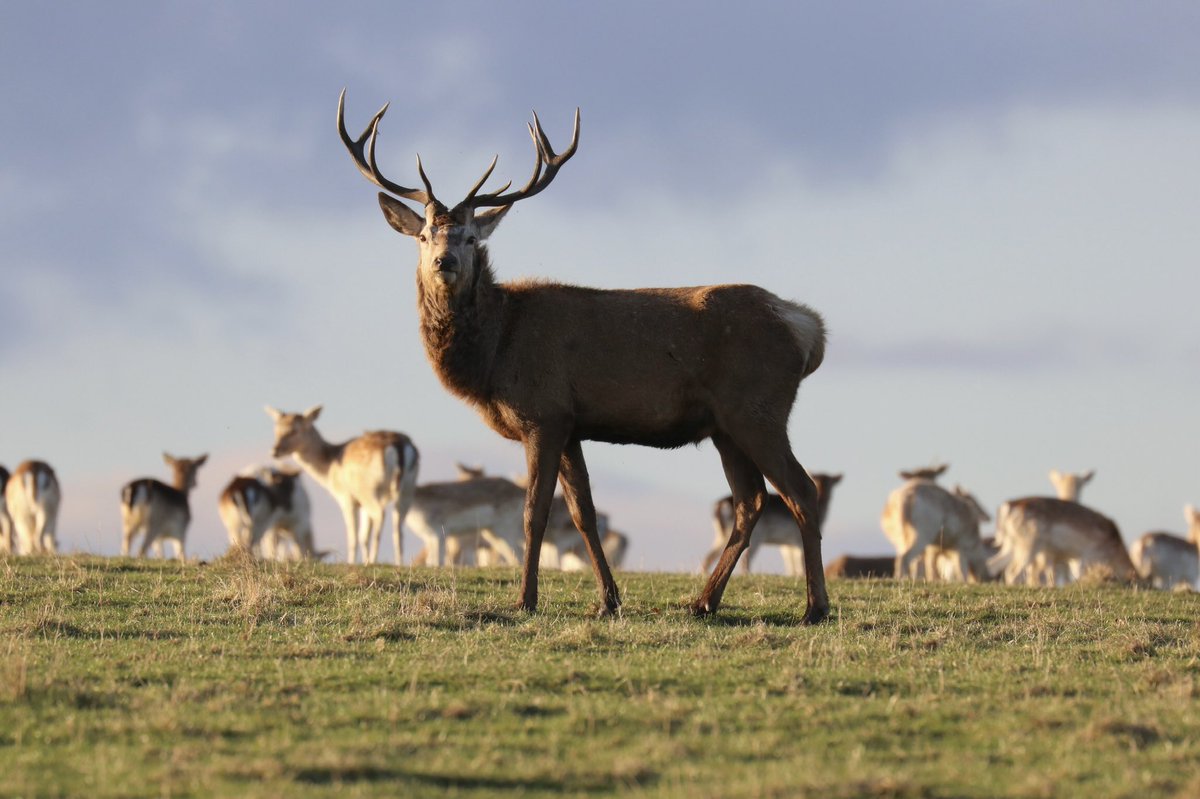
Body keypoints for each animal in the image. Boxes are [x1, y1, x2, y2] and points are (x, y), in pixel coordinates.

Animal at [265, 405, 418, 565]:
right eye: (276, 429)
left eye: (295, 430)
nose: (274, 451)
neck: (329, 469)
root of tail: (399, 446)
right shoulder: (361, 503)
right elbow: (363, 536)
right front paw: (365, 562)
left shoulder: (346, 497)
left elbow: (354, 536)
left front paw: (353, 562)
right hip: (408, 488)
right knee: (398, 525)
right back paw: (398, 563)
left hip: (368, 490)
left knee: (380, 514)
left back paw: (375, 559)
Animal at [702, 473, 842, 577]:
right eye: (817, 481)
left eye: (829, 483)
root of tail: (720, 505)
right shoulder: (796, 539)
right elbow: (800, 561)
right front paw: (801, 575)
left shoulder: (786, 543)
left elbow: (790, 562)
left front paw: (792, 575)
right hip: (755, 536)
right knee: (745, 558)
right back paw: (747, 575)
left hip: (722, 535)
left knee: (710, 556)